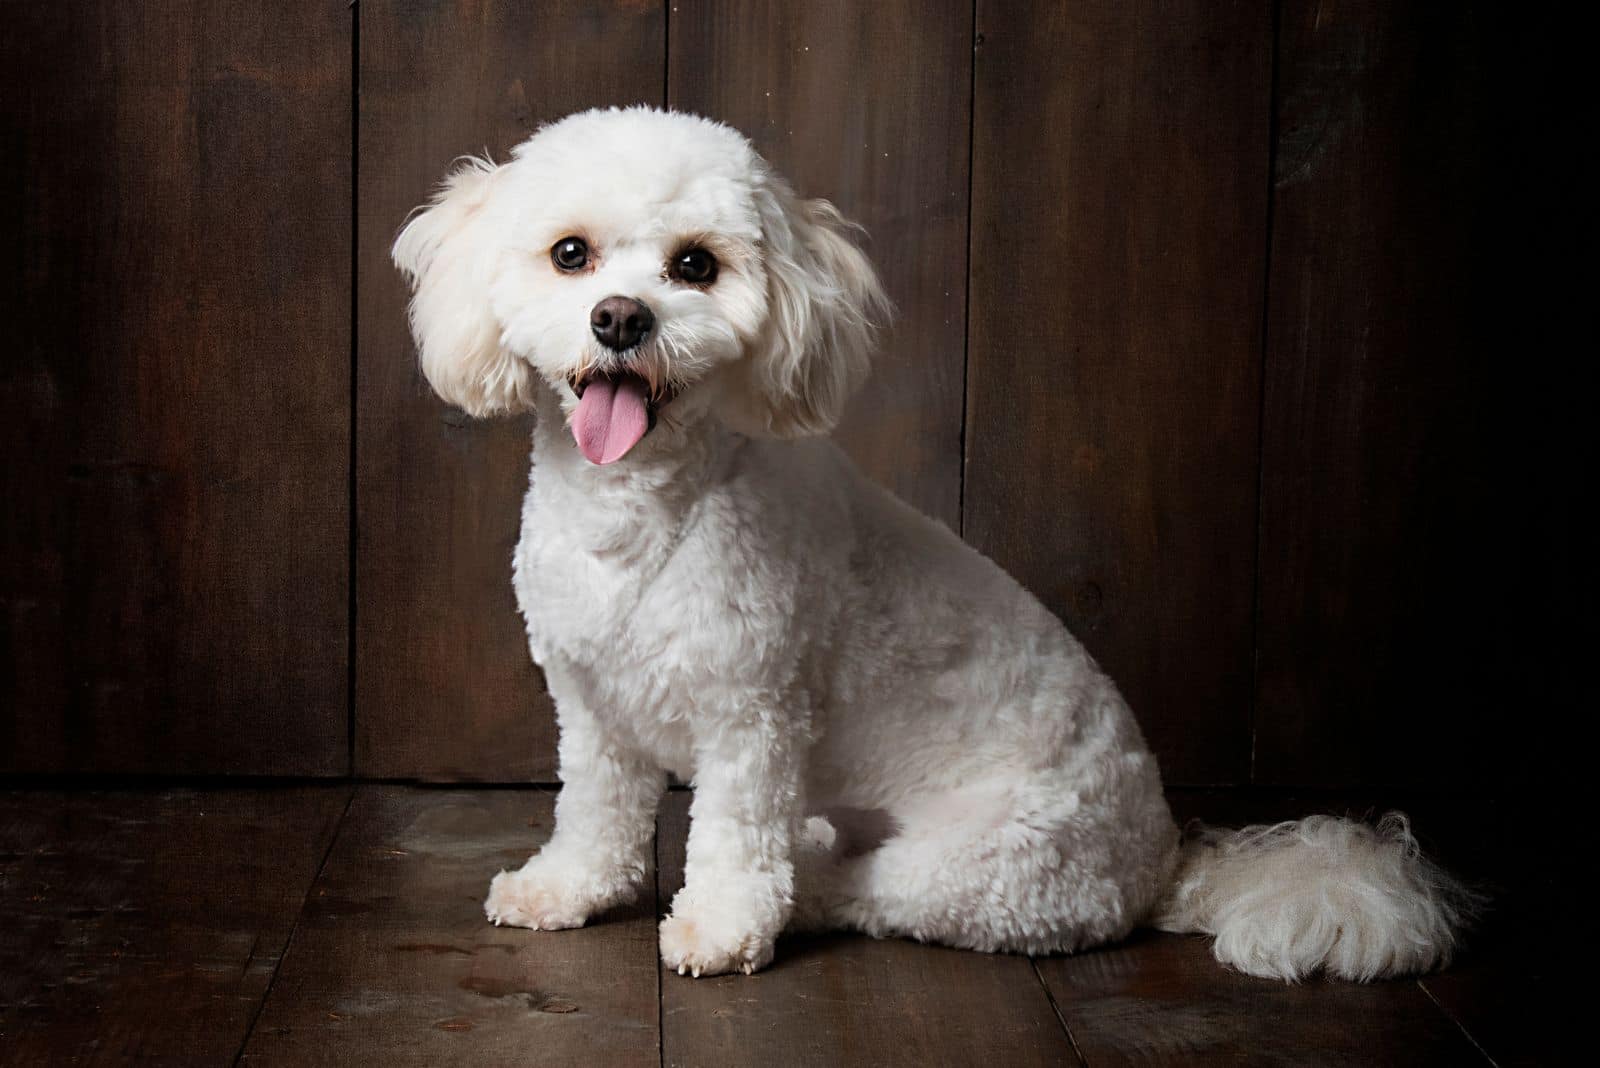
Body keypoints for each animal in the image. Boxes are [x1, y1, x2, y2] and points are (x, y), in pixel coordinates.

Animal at [390, 103, 1472, 978]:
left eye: (694, 263)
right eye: (570, 254)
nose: (620, 319)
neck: (644, 509)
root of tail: (1164, 862)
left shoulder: (753, 715)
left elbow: (736, 834)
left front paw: (719, 930)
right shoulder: (590, 706)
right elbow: (594, 812)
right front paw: (566, 888)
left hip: (980, 865)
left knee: (864, 890)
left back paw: (801, 896)